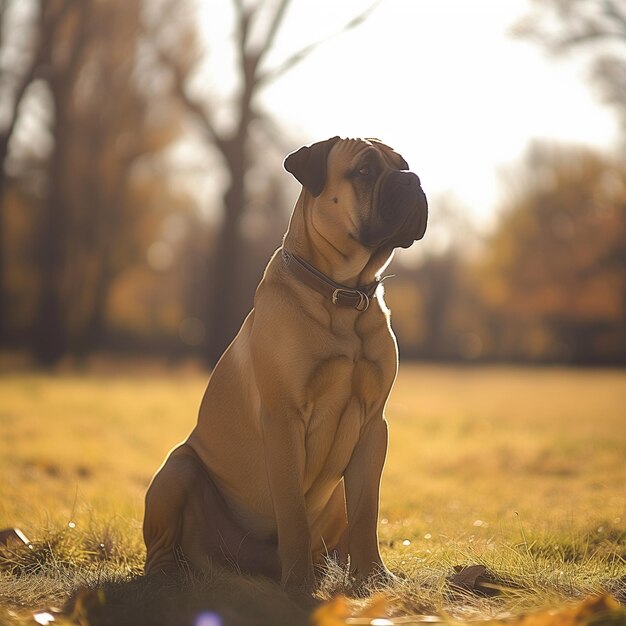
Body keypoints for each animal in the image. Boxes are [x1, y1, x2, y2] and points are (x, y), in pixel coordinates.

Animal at [142, 136, 426, 588]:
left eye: (404, 165)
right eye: (364, 171)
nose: (412, 179)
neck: (344, 295)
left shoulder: (372, 425)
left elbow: (367, 510)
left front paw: (374, 578)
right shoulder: (284, 419)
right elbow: (292, 509)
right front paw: (298, 586)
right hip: (178, 469)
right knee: (162, 546)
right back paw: (167, 578)